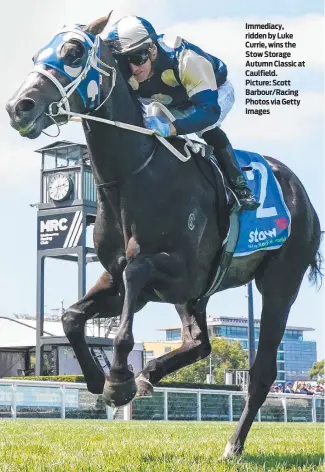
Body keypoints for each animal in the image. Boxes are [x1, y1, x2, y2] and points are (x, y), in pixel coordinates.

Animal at [5, 14, 322, 460]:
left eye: (73, 51)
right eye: (37, 54)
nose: (19, 107)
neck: (135, 175)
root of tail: (301, 194)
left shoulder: (177, 274)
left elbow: (132, 288)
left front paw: (118, 379)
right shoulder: (120, 277)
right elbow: (71, 317)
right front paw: (101, 381)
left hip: (278, 284)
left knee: (260, 372)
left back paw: (232, 445)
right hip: (197, 297)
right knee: (199, 343)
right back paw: (149, 374)